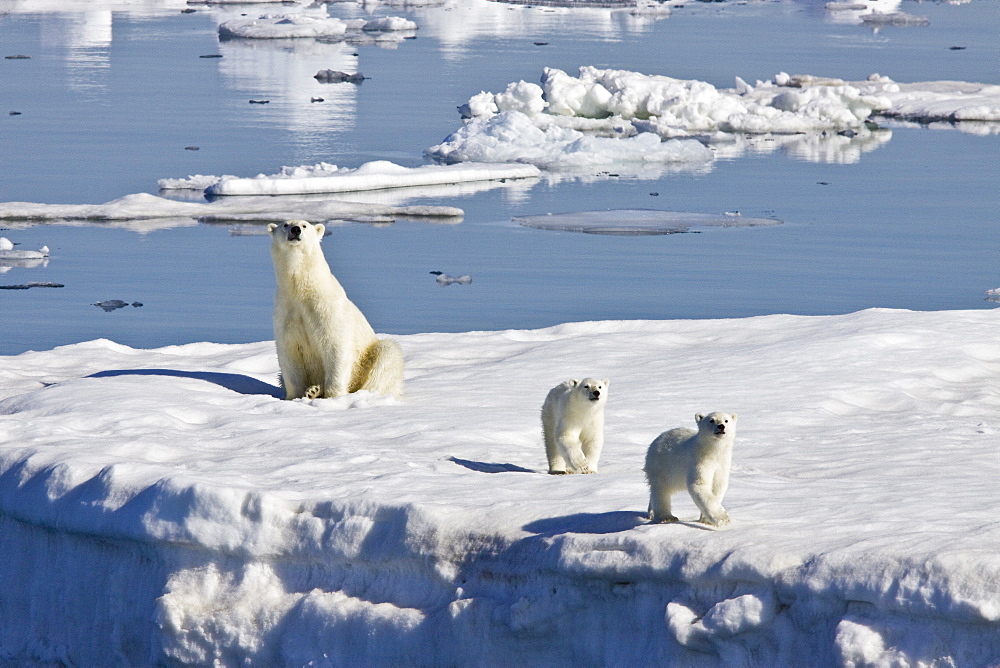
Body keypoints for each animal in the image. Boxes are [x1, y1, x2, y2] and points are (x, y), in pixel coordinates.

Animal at [270, 219, 406, 400]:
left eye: (305, 225)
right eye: (285, 225)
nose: (295, 230)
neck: (302, 290)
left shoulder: (327, 310)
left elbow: (336, 347)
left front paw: (333, 397)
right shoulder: (286, 312)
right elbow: (289, 353)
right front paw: (294, 396)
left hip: (371, 357)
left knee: (387, 355)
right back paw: (314, 390)